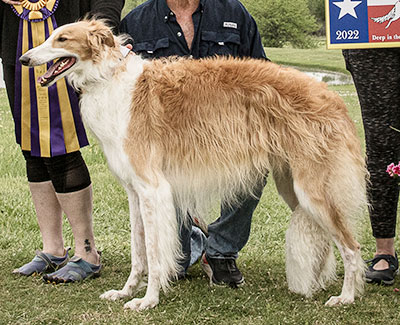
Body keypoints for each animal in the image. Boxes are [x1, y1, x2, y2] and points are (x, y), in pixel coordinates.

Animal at [20, 19, 368, 308]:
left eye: (62, 38)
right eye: (50, 35)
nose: (24, 60)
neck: (111, 80)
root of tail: (330, 95)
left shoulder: (153, 188)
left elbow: (155, 253)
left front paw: (147, 300)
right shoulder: (135, 192)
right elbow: (138, 251)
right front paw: (126, 291)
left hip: (312, 190)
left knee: (352, 247)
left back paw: (346, 297)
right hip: (292, 186)